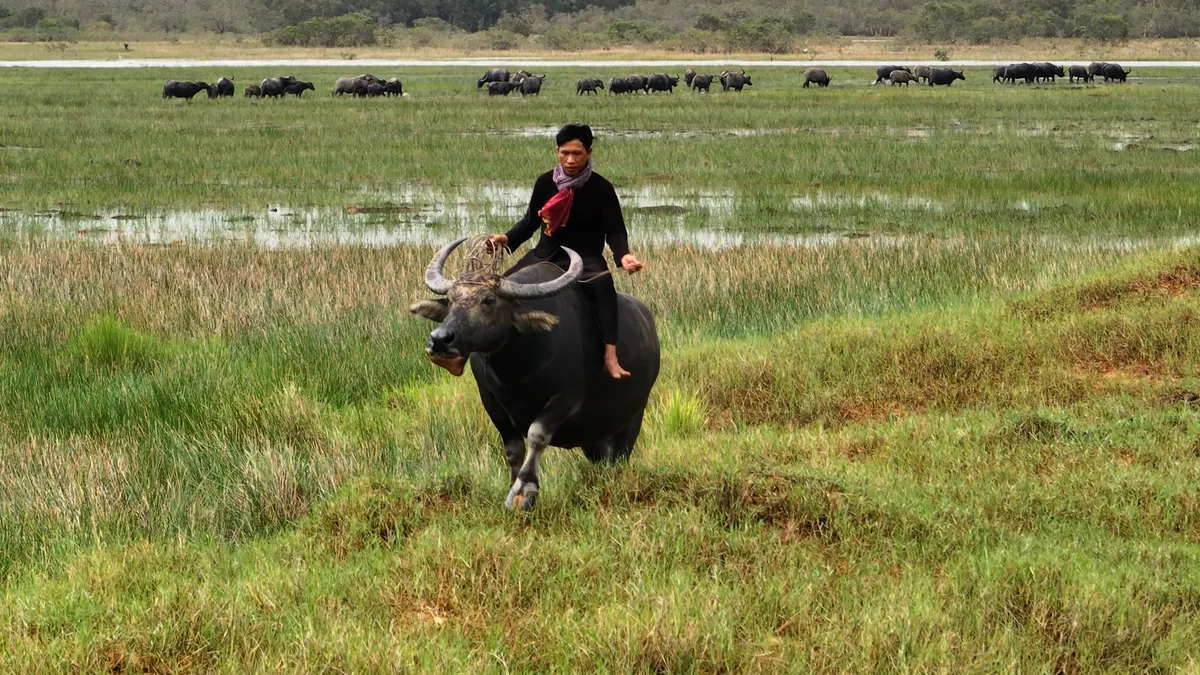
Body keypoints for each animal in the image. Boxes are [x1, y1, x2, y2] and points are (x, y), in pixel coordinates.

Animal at [410, 240, 657, 509]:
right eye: (451, 299)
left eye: (489, 301)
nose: (440, 339)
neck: (517, 371)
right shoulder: (491, 401)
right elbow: (513, 448)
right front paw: (512, 487)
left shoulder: (567, 398)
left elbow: (537, 435)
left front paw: (525, 490)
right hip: (594, 437)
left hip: (633, 417)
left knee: (620, 456)